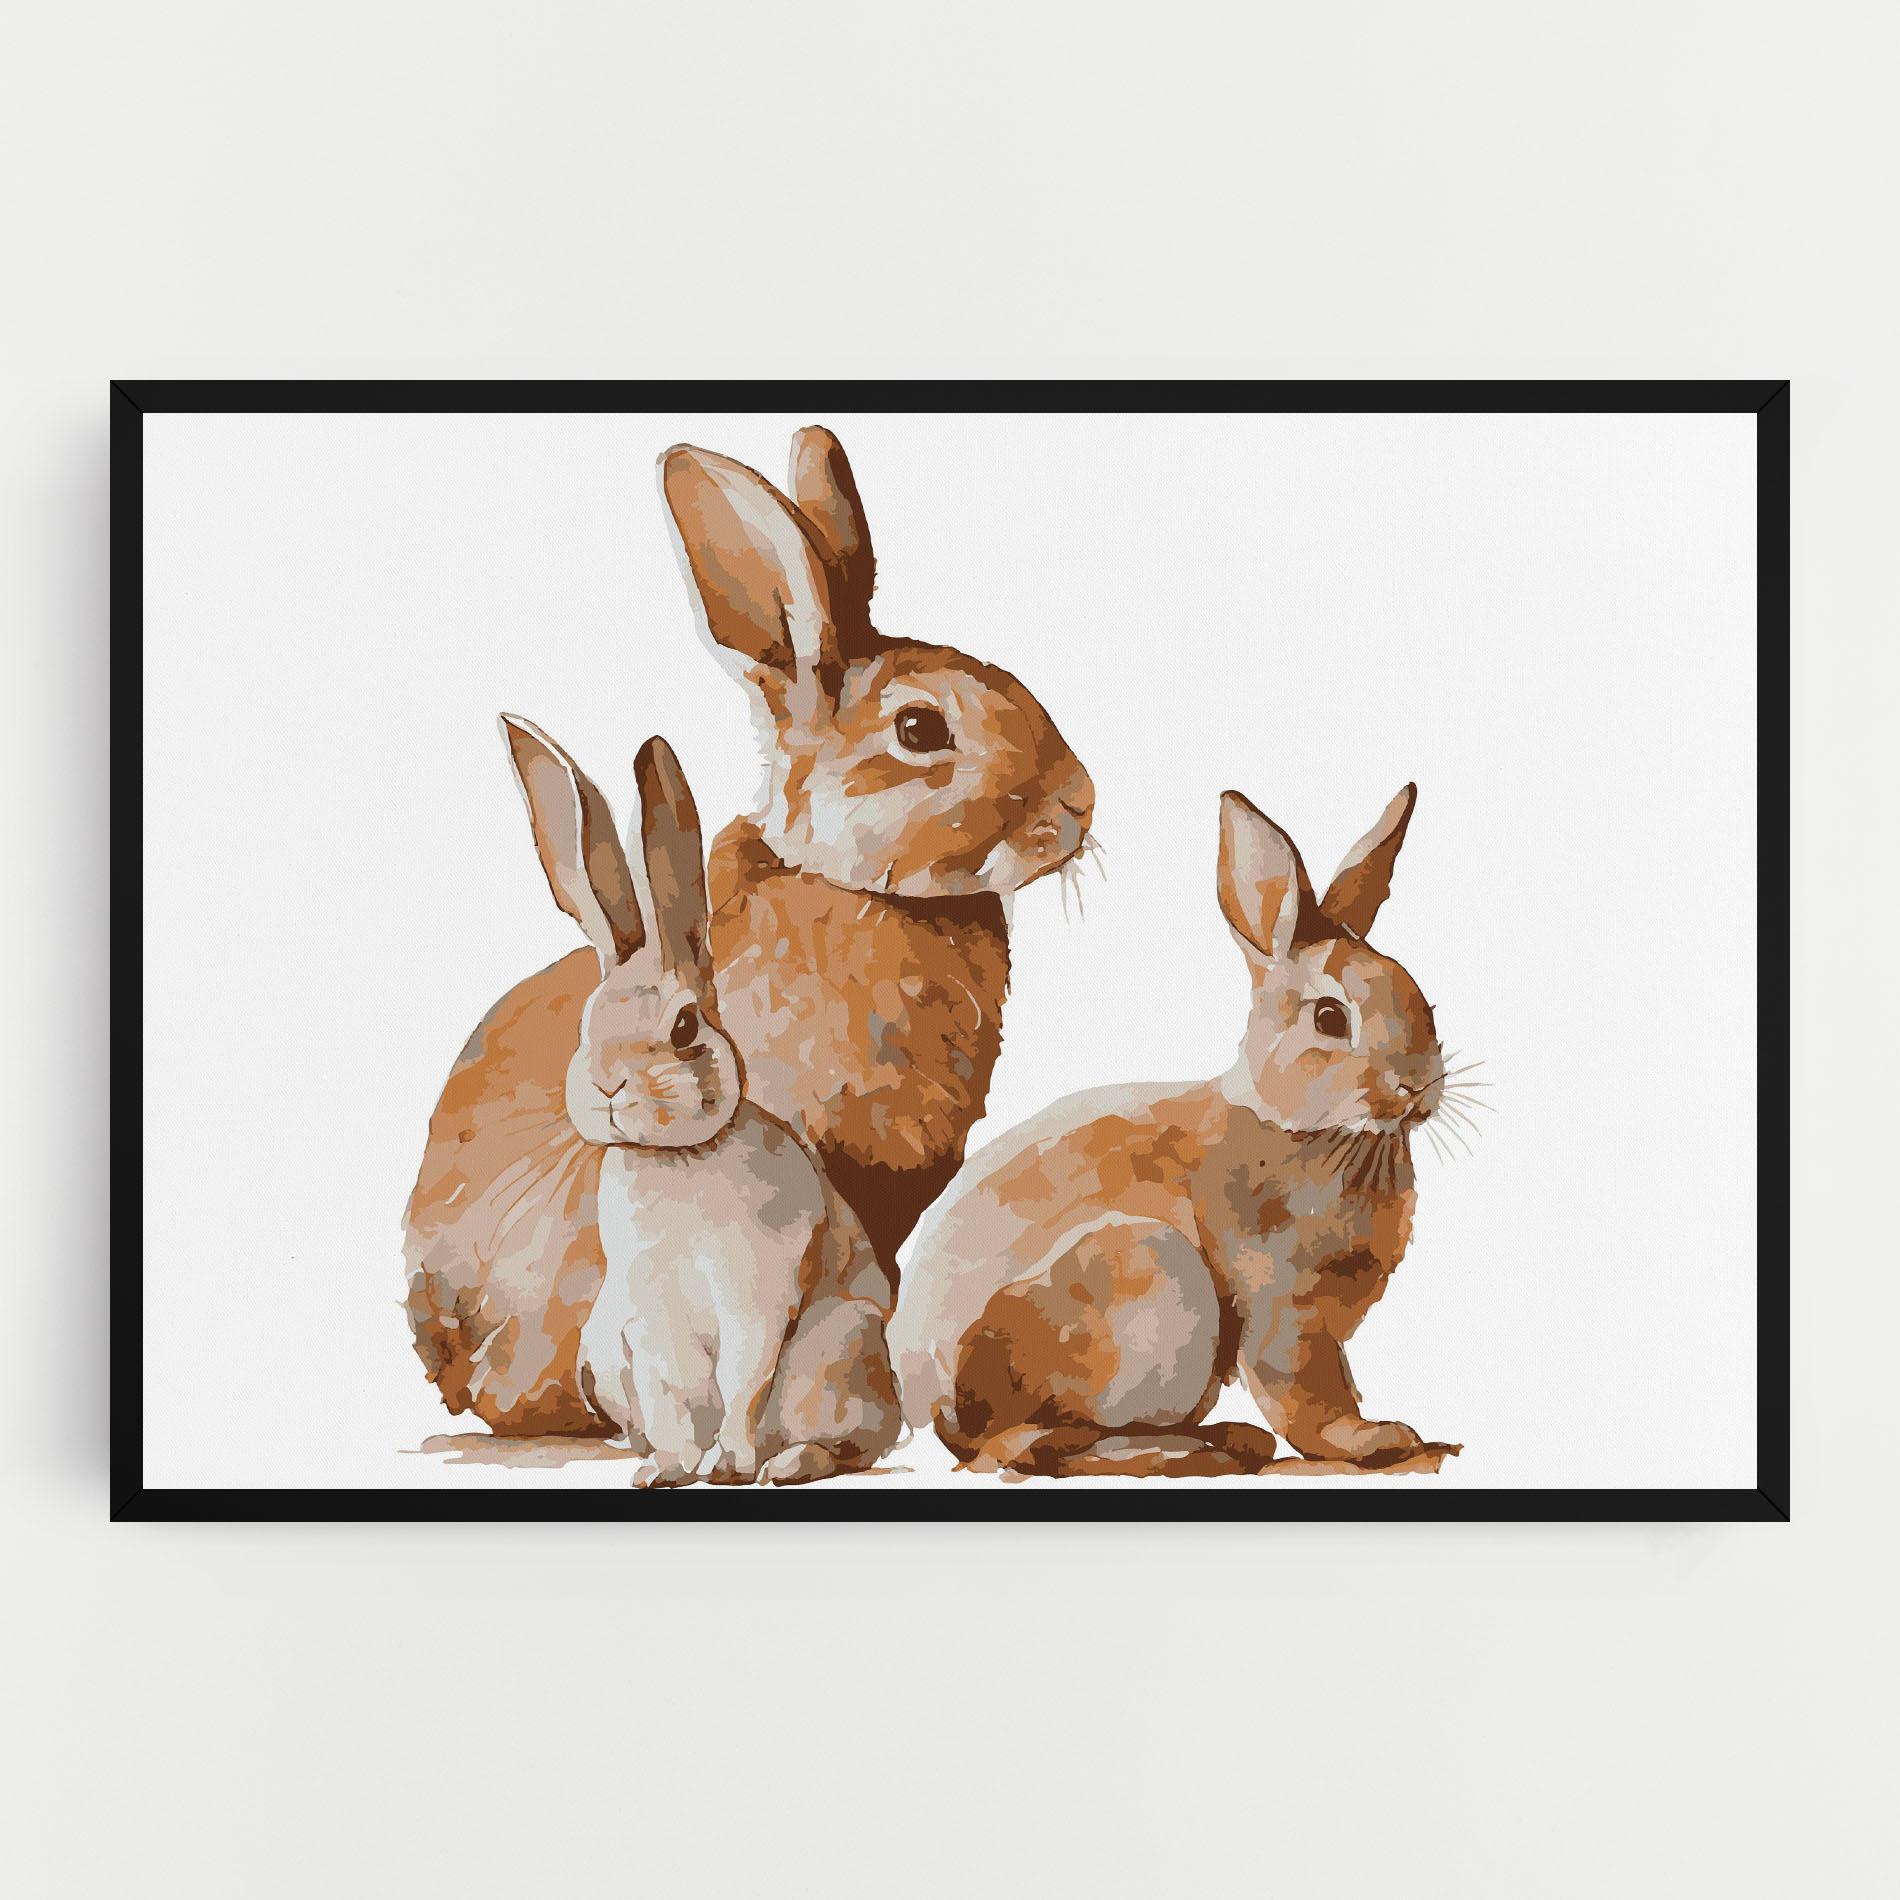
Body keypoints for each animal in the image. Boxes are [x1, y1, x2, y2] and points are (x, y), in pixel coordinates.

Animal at [404, 717, 900, 1484]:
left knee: (851, 1442)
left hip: (837, 1354)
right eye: (588, 1023)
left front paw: (728, 1464)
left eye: (685, 1026)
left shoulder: (756, 1302)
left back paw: (783, 1464)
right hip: (605, 1351)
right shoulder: (649, 1320)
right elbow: (672, 1397)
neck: (679, 1158)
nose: (609, 1086)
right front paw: (668, 1471)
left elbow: (744, 1384)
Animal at [887, 783, 1465, 1479]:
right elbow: (1307, 1398)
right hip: (1146, 1278)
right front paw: (1374, 1439)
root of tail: (928, 1403)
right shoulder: (1283, 1309)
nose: (1418, 1086)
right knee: (1025, 1445)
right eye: (1330, 1018)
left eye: (1422, 997)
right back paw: (1185, 1449)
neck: (1319, 1131)